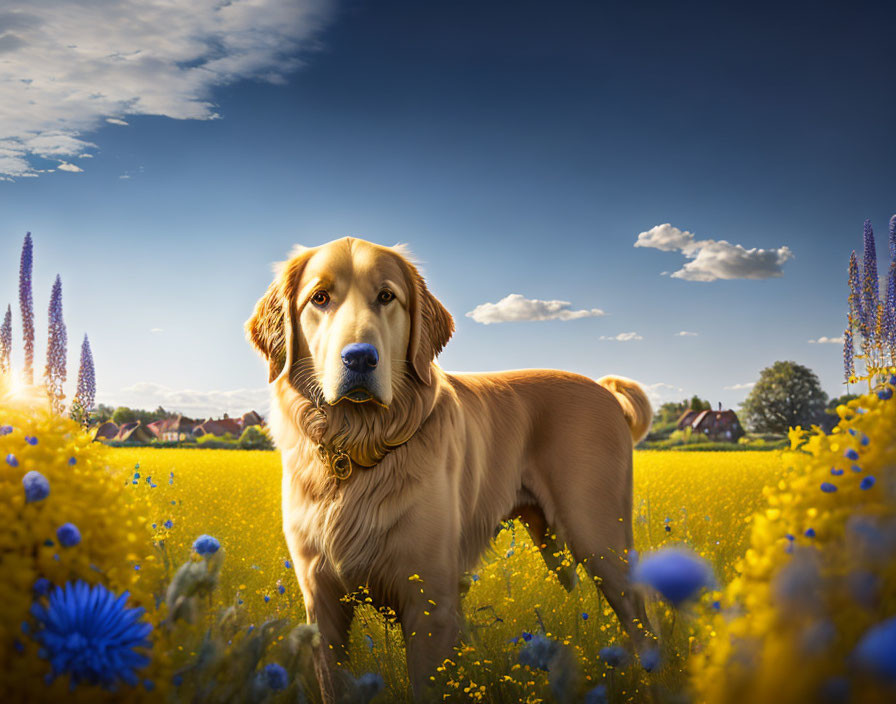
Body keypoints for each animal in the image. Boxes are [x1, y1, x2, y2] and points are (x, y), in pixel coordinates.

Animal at [248, 235, 656, 700]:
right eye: (320, 298)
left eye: (386, 296)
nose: (360, 359)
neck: (360, 447)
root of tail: (604, 391)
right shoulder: (322, 603)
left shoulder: (430, 605)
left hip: (600, 539)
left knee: (644, 625)